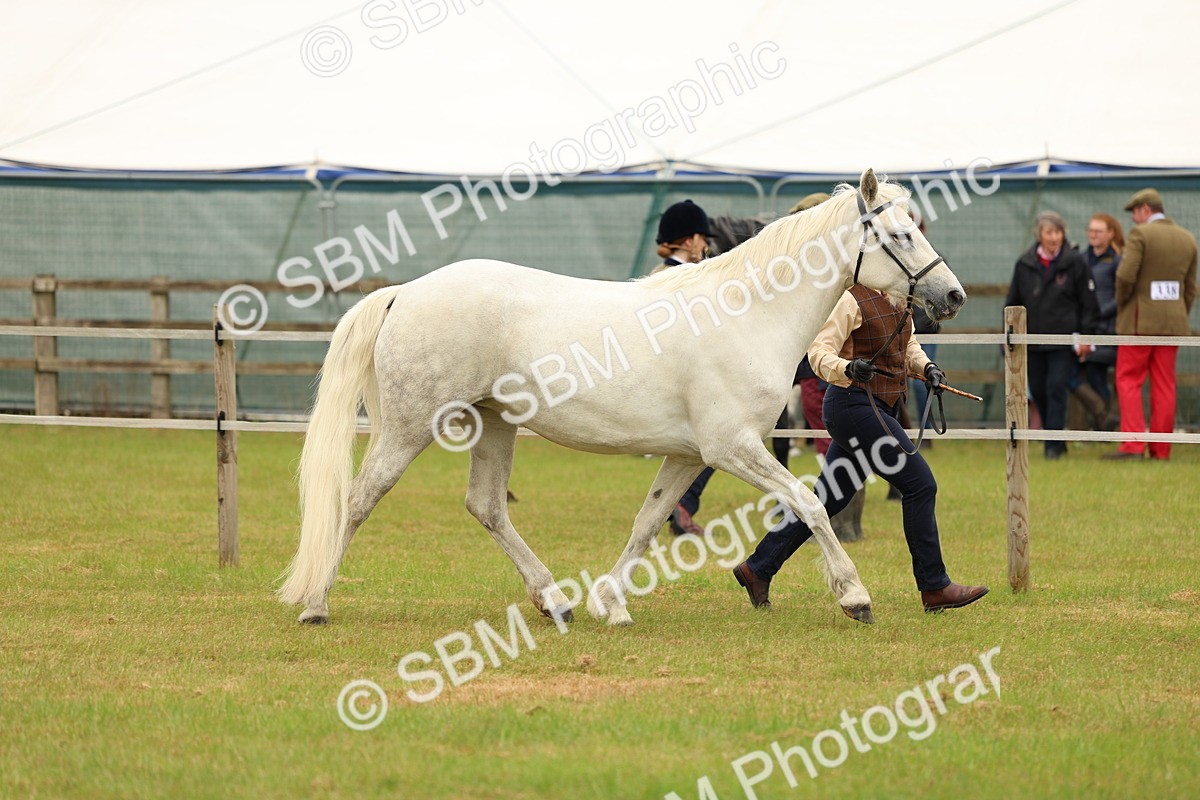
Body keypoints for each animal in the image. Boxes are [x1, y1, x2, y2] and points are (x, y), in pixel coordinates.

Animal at [277, 169, 966, 626]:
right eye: (901, 235)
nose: (953, 296)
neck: (746, 314)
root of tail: (407, 291)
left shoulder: (689, 455)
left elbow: (648, 521)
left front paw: (610, 603)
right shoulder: (733, 447)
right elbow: (809, 502)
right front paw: (854, 596)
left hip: (495, 424)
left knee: (487, 507)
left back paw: (555, 600)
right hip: (410, 425)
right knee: (358, 501)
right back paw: (316, 603)